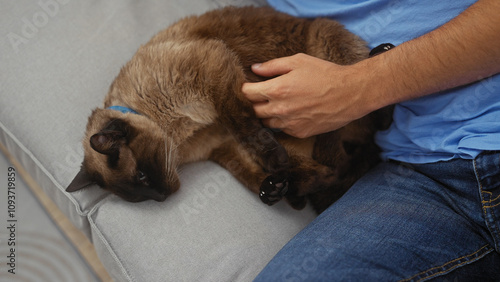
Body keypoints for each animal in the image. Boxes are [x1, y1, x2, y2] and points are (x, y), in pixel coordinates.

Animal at [66, 5, 392, 213]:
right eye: (139, 197)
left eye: (143, 177)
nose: (163, 196)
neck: (179, 138)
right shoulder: (222, 146)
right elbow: (244, 171)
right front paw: (271, 188)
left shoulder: (215, 73)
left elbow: (244, 126)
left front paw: (274, 168)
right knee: (328, 172)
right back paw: (288, 191)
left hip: (326, 39)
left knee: (369, 112)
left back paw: (383, 53)